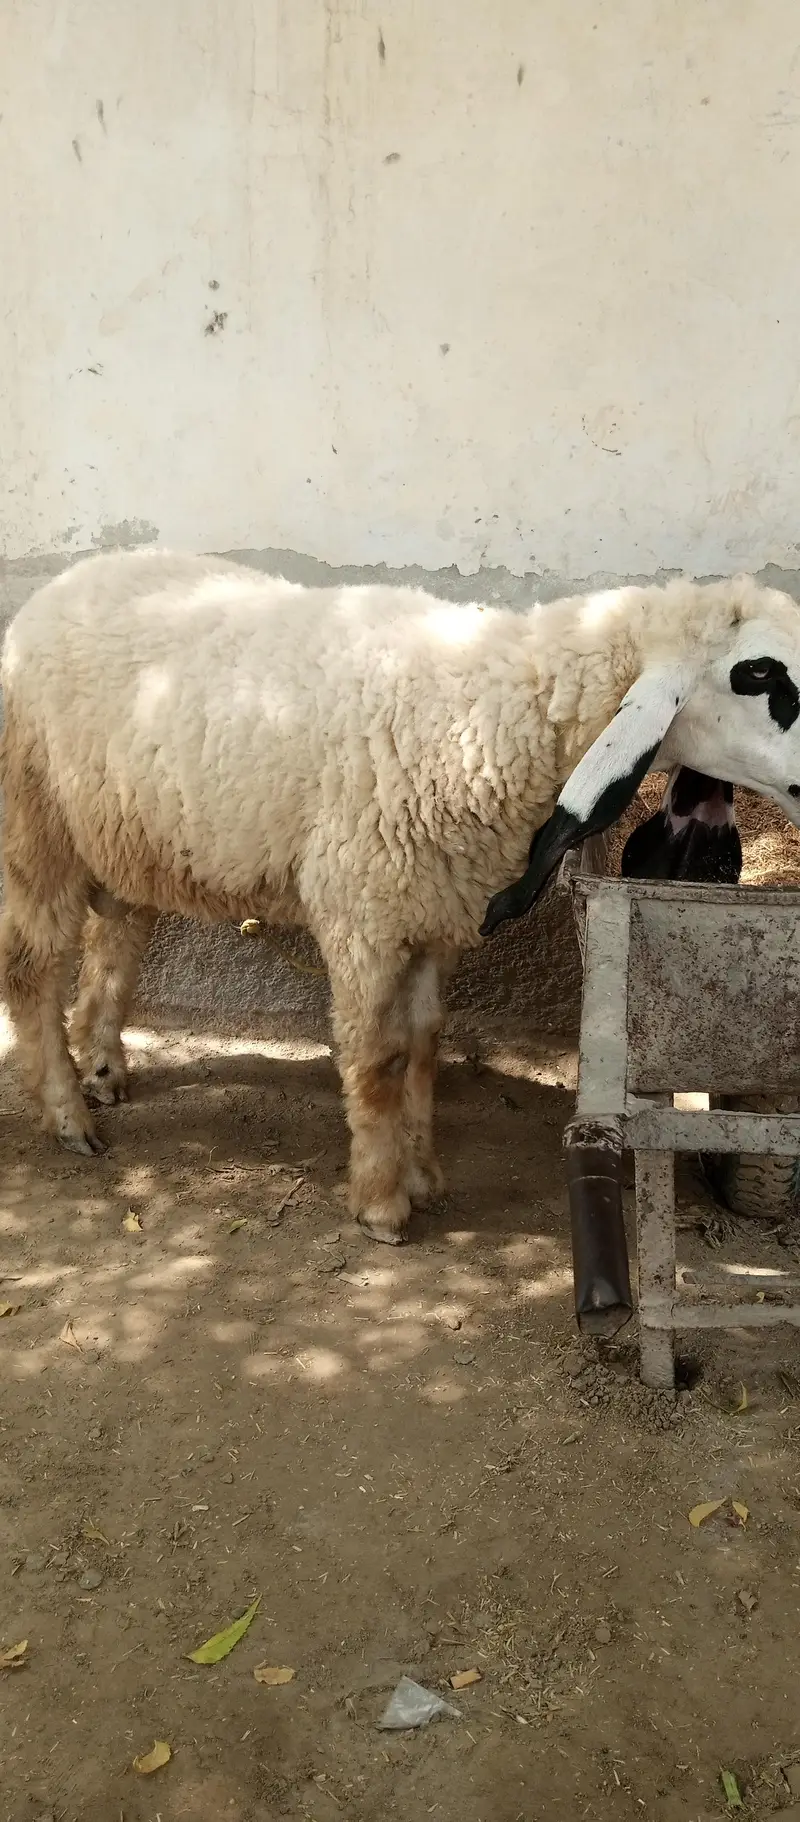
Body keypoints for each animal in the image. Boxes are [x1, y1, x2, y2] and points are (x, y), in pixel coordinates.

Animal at [3, 549, 800, 1247]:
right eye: (758, 674)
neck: (480, 713)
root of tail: (61, 586)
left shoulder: (432, 914)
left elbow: (423, 1045)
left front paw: (423, 1176)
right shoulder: (366, 916)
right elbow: (378, 1059)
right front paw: (381, 1204)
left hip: (123, 836)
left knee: (116, 941)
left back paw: (102, 1068)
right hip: (37, 826)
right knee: (32, 970)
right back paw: (67, 1116)